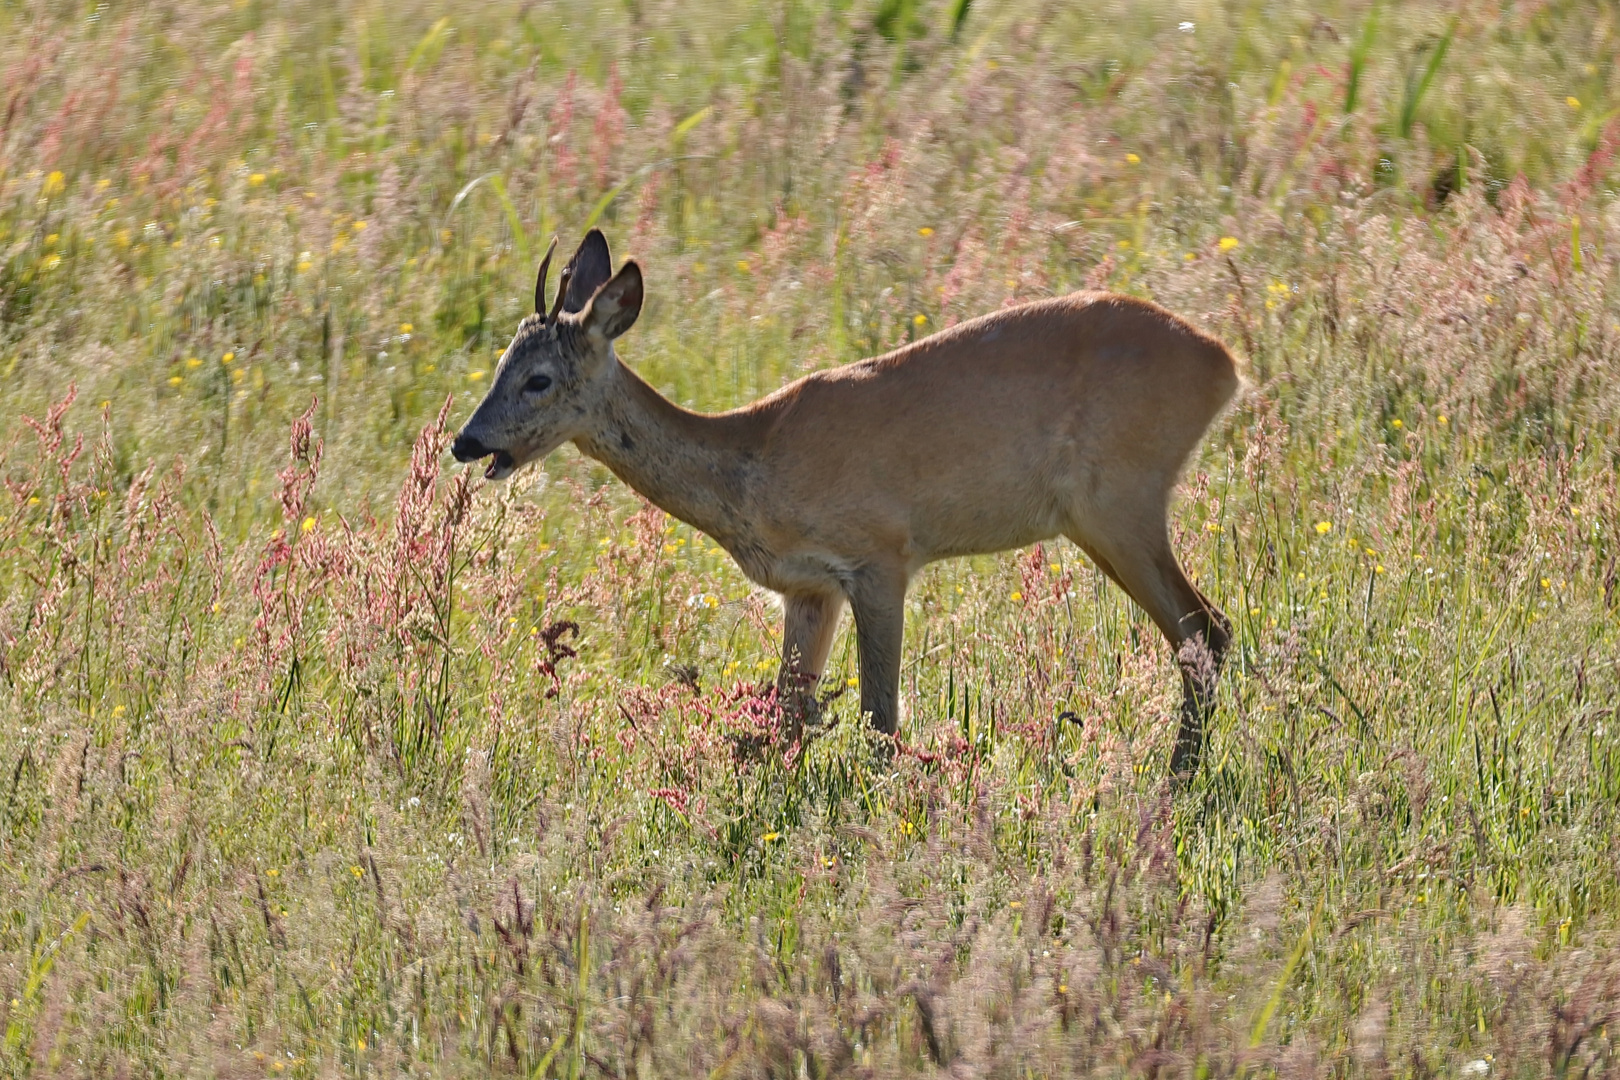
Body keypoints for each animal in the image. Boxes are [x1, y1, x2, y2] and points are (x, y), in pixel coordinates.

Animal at [456, 233, 1237, 780]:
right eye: (498, 364)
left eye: (538, 379)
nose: (467, 441)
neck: (751, 460)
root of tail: (1225, 364)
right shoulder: (808, 587)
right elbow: (787, 715)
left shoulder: (881, 555)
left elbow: (879, 719)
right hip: (1102, 517)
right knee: (1204, 631)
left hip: (1120, 501)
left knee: (1205, 628)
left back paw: (1175, 780)